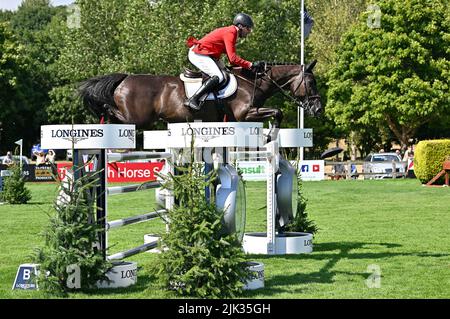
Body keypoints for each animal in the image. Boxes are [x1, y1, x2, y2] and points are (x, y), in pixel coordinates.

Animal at [79, 60, 322, 129]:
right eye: (311, 83)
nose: (318, 109)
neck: (253, 82)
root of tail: (125, 78)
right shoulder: (245, 114)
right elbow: (278, 111)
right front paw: (273, 132)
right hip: (137, 118)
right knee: (111, 110)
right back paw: (101, 117)